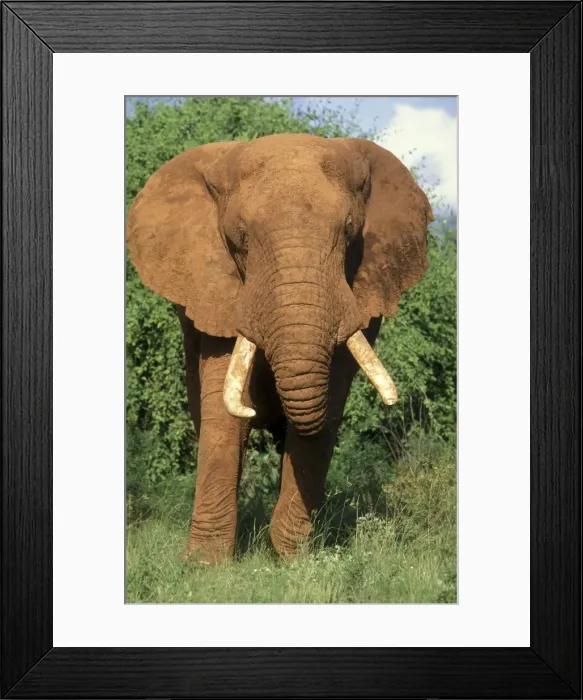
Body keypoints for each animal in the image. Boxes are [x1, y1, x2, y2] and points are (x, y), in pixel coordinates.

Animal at [126, 133, 434, 563]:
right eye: (239, 238)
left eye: (349, 230)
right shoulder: (217, 289)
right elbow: (223, 415)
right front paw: (205, 565)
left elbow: (328, 403)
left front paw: (293, 560)